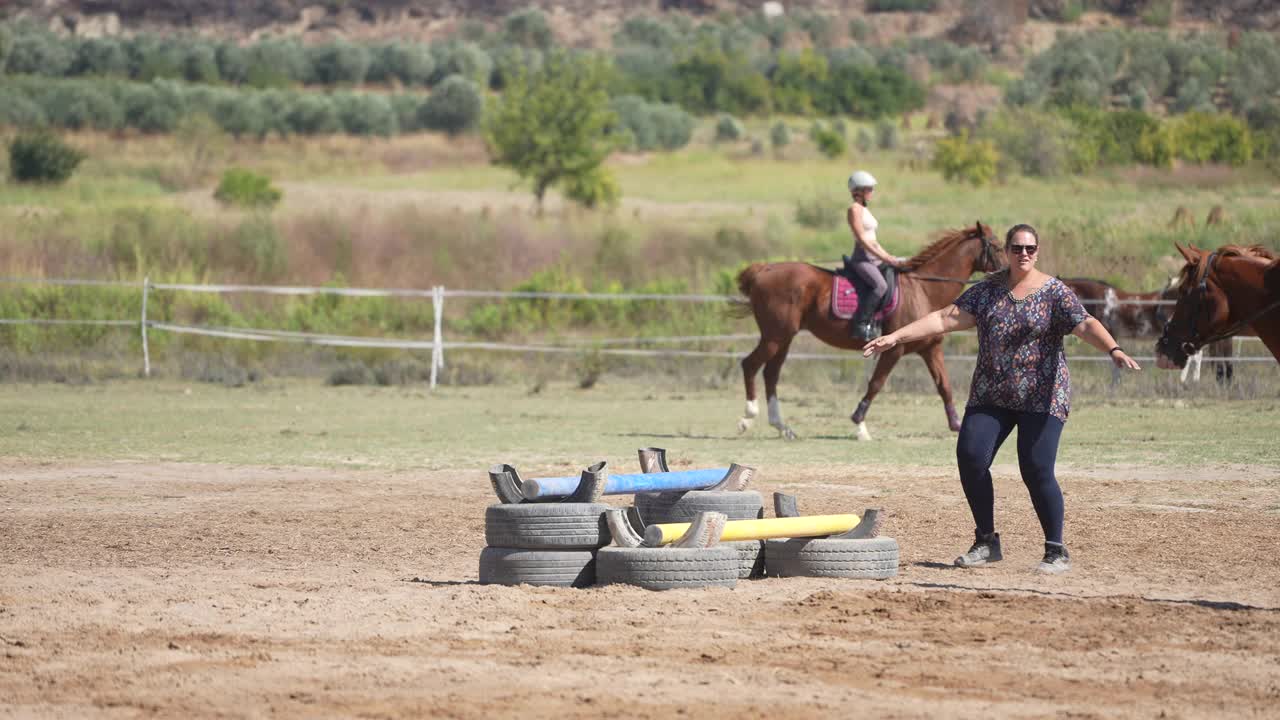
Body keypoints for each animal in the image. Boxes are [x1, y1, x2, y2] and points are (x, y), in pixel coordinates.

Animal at [737, 221, 1003, 440]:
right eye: (998, 247)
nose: (1005, 274)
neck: (925, 290)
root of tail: (764, 270)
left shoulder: (931, 349)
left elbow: (944, 386)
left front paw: (956, 425)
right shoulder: (893, 350)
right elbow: (876, 384)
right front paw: (860, 426)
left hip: (784, 338)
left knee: (771, 373)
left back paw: (782, 428)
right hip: (775, 336)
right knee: (750, 364)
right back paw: (748, 417)